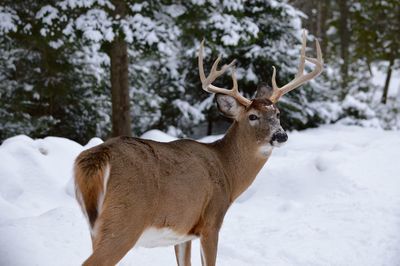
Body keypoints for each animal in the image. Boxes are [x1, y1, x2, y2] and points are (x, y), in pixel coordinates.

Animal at [75, 31, 322, 266]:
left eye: (278, 113)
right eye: (252, 116)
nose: (281, 135)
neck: (227, 171)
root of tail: (99, 156)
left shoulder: (183, 233)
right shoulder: (211, 220)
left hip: (96, 227)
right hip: (125, 218)